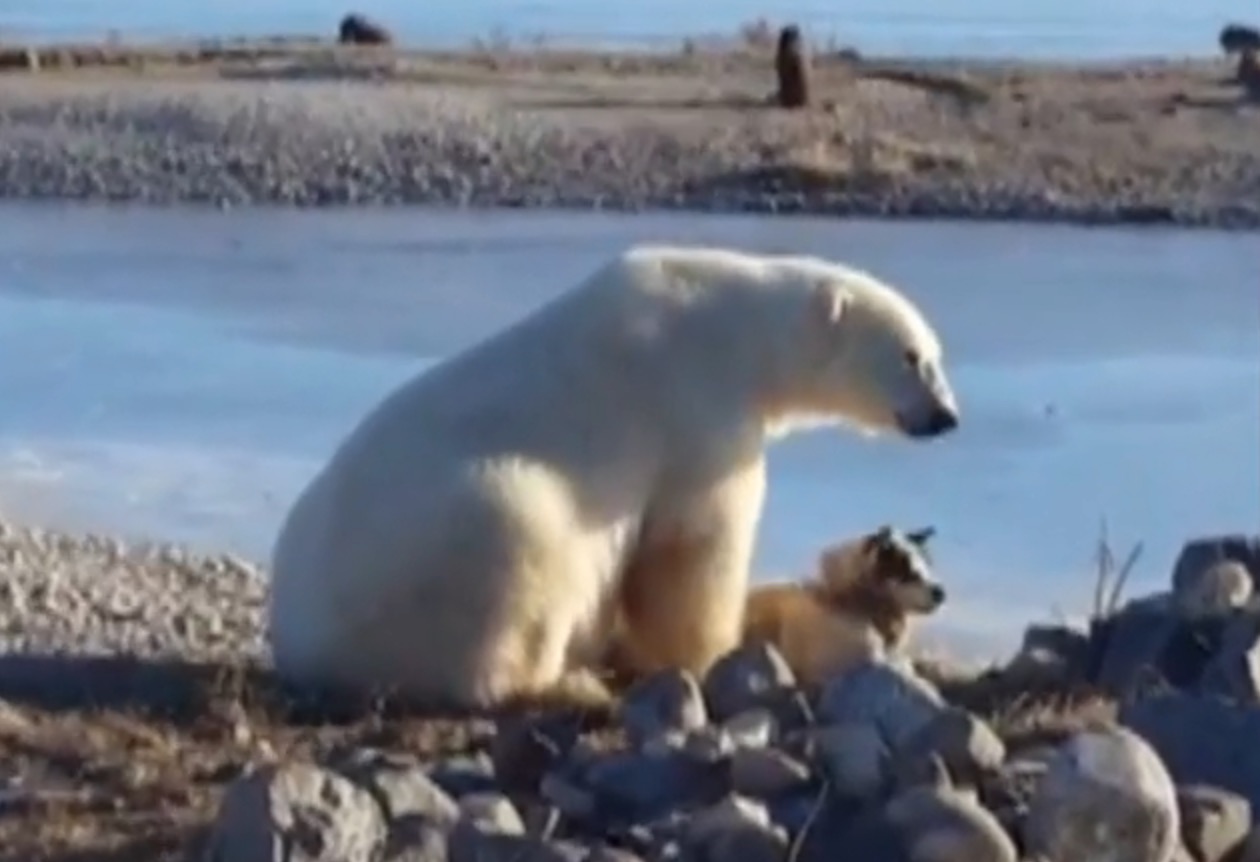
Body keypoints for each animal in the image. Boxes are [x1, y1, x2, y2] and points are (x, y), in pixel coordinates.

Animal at [263, 244, 952, 715]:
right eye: (913, 357)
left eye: (935, 356)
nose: (947, 417)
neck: (734, 326)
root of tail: (302, 645)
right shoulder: (694, 405)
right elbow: (694, 544)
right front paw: (711, 653)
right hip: (457, 533)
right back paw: (570, 683)